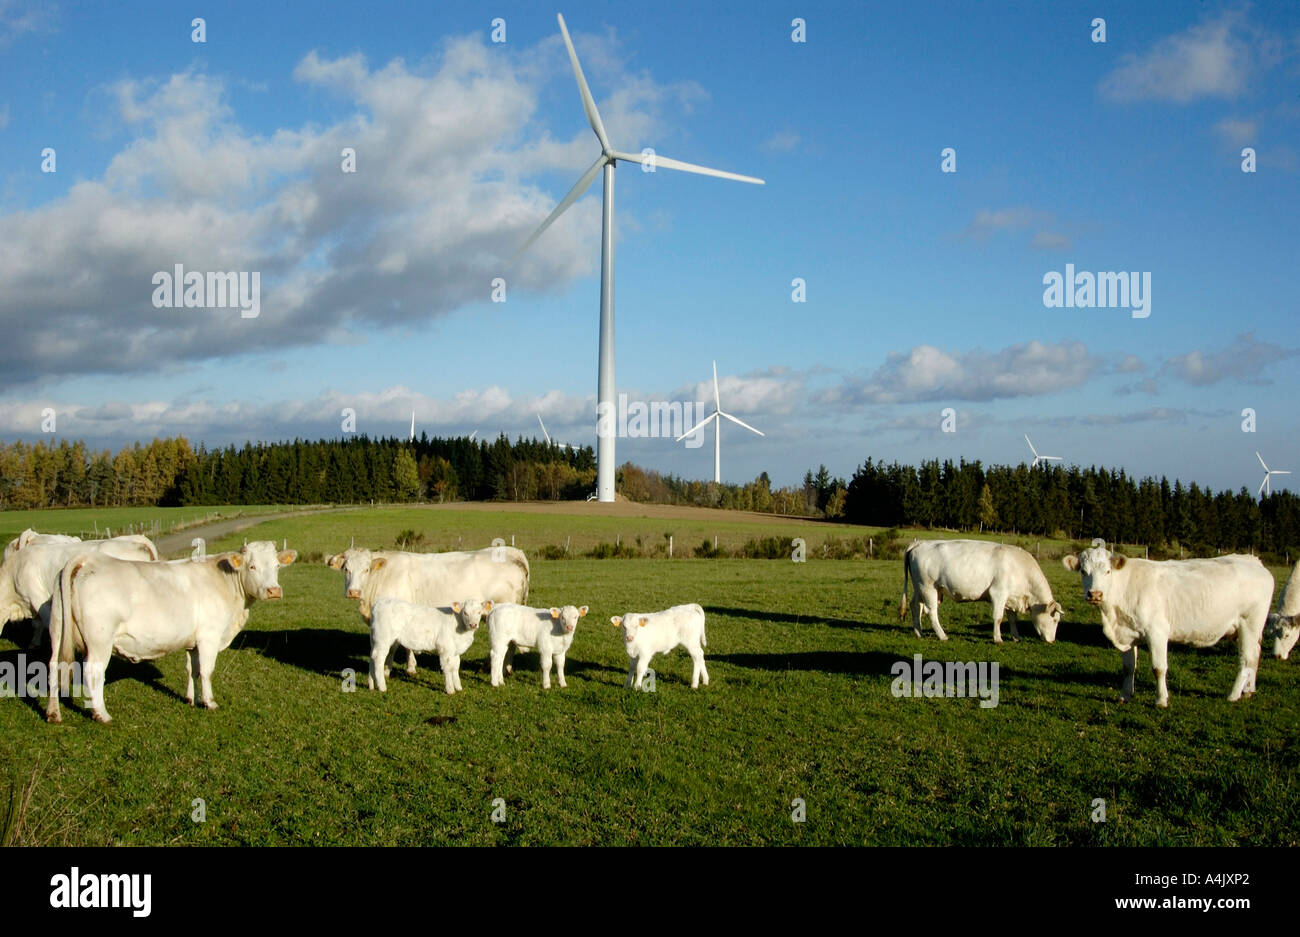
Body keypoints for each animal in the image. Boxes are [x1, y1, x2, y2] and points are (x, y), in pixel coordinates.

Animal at [45, 538, 295, 722]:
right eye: (252, 566)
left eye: (277, 566)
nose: (274, 591)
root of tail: (89, 560)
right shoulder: (209, 637)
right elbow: (207, 671)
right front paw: (210, 702)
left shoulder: (193, 642)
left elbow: (192, 670)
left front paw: (191, 699)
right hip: (100, 640)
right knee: (93, 672)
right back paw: (102, 715)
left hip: (57, 628)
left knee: (53, 666)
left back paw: (53, 714)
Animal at [327, 545, 530, 675]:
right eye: (346, 569)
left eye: (366, 569)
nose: (353, 592)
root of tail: (512, 553)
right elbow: (407, 643)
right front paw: (410, 667)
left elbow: (394, 647)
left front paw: (386, 670)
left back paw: (500, 668)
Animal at [899, 538, 1060, 639]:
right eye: (1055, 620)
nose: (1052, 640)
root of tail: (921, 542)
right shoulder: (998, 593)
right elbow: (998, 617)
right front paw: (998, 639)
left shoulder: (1011, 597)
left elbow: (1012, 619)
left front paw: (1016, 637)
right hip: (928, 587)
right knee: (931, 612)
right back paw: (942, 636)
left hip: (919, 587)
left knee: (916, 606)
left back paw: (919, 633)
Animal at [1066, 538, 1268, 706]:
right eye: (1083, 571)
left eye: (1107, 571)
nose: (1095, 594)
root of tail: (1252, 560)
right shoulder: (1128, 634)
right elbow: (1128, 668)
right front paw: (1125, 695)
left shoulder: (1157, 632)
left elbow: (1158, 668)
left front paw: (1161, 700)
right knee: (1255, 655)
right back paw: (1249, 690)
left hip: (1249, 624)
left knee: (1246, 659)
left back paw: (1233, 694)